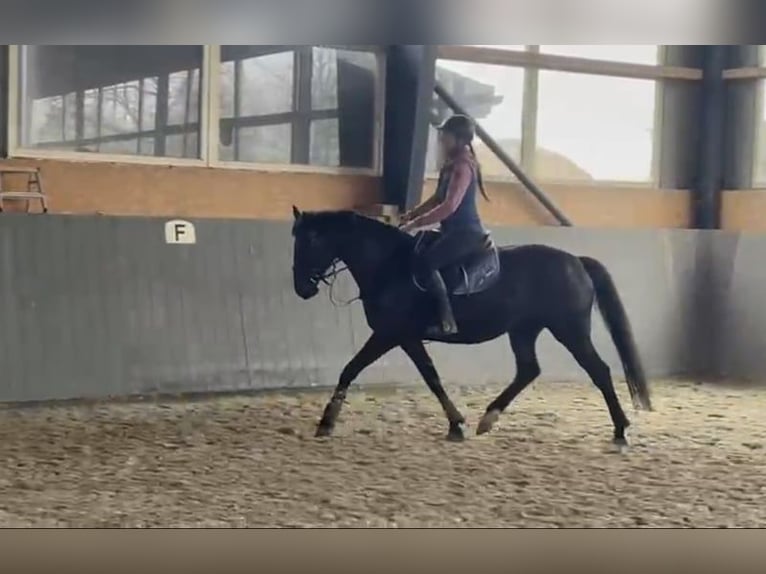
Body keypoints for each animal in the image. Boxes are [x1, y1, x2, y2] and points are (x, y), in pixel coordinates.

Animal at [291, 207, 652, 445]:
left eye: (311, 242)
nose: (302, 289)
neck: (388, 266)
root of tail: (576, 261)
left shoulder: (389, 334)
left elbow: (350, 369)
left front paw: (326, 422)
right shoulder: (406, 337)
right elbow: (431, 377)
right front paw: (456, 425)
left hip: (569, 330)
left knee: (599, 370)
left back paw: (621, 430)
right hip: (524, 329)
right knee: (528, 370)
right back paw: (488, 419)